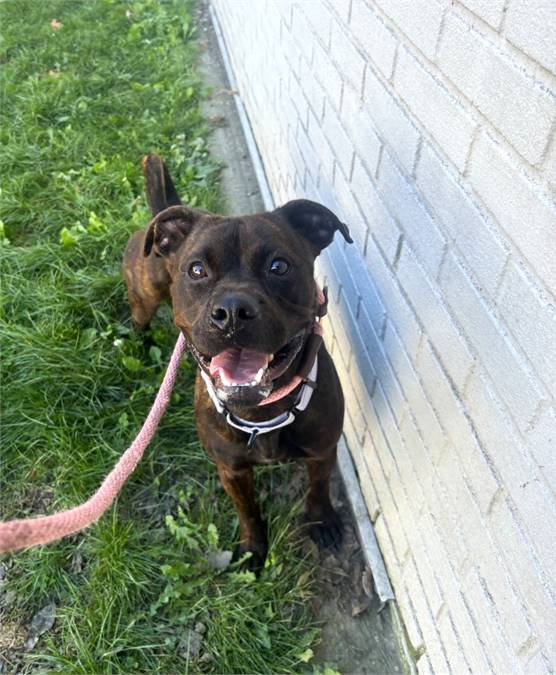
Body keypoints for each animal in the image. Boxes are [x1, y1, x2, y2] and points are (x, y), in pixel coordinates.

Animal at [124, 154, 354, 572]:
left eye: (279, 266)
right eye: (197, 270)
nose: (232, 311)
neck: (264, 412)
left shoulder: (322, 451)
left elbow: (318, 488)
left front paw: (322, 520)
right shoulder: (231, 470)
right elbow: (248, 511)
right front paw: (253, 547)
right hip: (144, 296)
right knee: (139, 318)